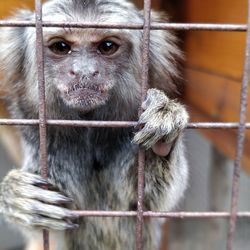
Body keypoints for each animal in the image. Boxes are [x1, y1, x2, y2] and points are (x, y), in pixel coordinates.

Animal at [0, 0, 188, 250]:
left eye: (107, 46)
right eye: (61, 47)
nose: (84, 71)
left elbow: (147, 200)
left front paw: (163, 139)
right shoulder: (43, 143)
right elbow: (50, 227)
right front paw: (15, 197)